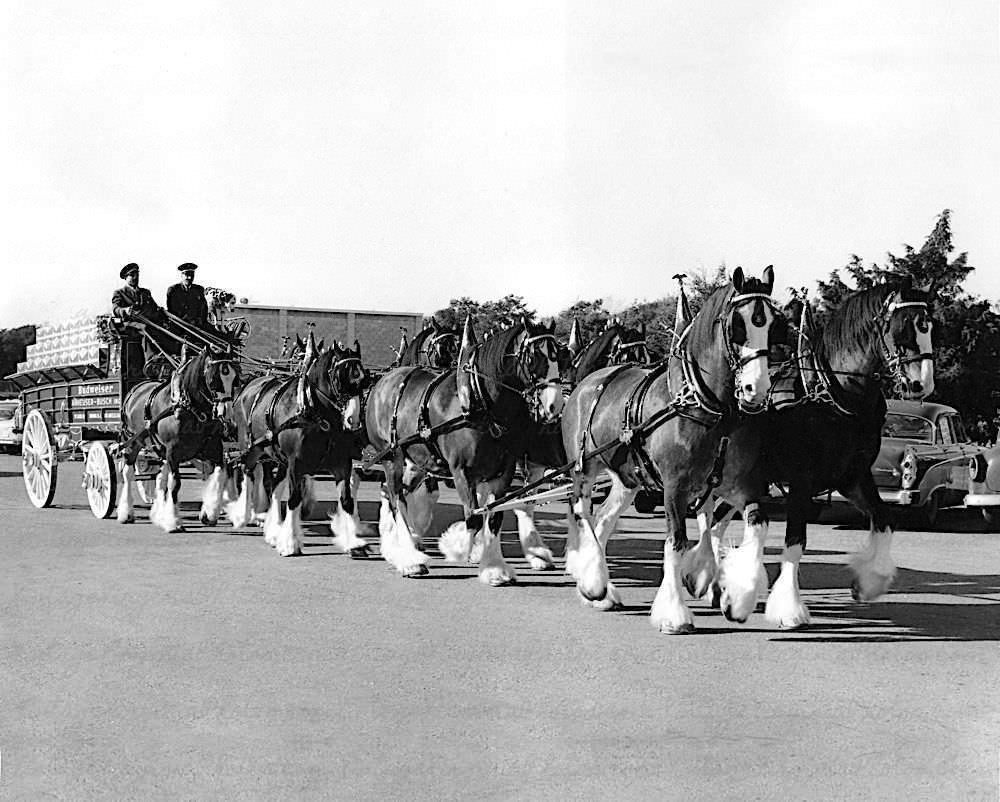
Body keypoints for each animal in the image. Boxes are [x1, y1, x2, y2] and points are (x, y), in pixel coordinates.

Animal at [564, 268, 780, 632]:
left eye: (774, 324)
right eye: (737, 324)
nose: (757, 389)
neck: (706, 407)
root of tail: (587, 382)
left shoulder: (736, 486)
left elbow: (755, 526)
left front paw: (735, 598)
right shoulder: (674, 488)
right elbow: (676, 543)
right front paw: (674, 612)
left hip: (628, 479)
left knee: (604, 519)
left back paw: (605, 593)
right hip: (583, 469)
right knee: (583, 514)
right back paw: (592, 582)